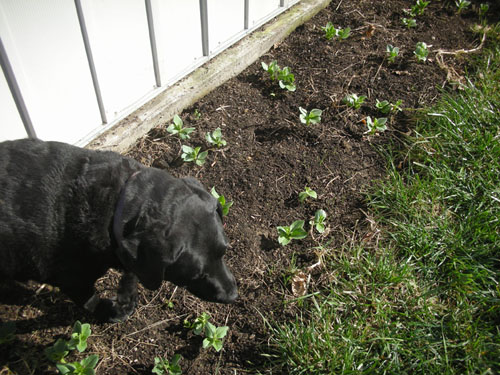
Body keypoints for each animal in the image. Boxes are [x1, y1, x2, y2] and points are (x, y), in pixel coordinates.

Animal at [0, 140, 237, 322]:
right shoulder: (71, 279)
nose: (232, 295)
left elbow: (131, 271)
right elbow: (90, 301)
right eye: (196, 274)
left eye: (224, 252)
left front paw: (126, 296)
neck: (117, 201)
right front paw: (113, 312)